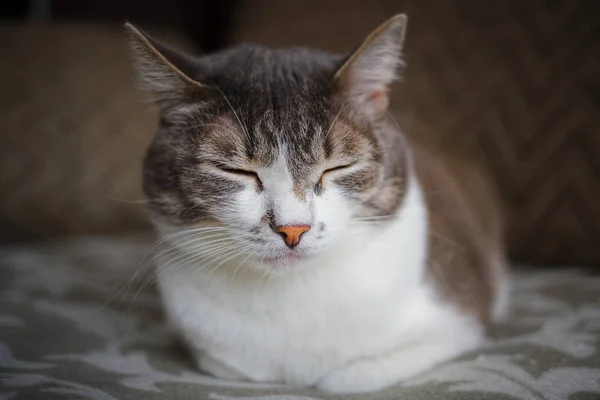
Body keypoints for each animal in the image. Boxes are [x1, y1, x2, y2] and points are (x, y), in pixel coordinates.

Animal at [126, 14, 510, 394]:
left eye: (337, 167)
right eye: (235, 170)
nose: (292, 229)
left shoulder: (457, 321)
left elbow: (349, 378)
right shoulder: (215, 355)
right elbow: (227, 366)